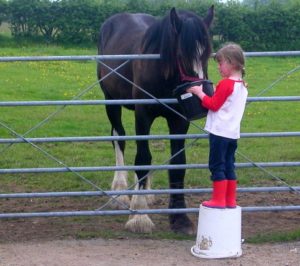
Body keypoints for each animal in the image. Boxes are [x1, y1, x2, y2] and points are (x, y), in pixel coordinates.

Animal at [97, 5, 214, 235]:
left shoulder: (179, 120)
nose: (200, 99)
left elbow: (178, 163)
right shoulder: (143, 114)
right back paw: (120, 192)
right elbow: (142, 158)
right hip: (111, 101)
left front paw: (180, 218)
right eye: (182, 54)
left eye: (207, 54)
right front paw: (139, 216)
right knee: (119, 138)